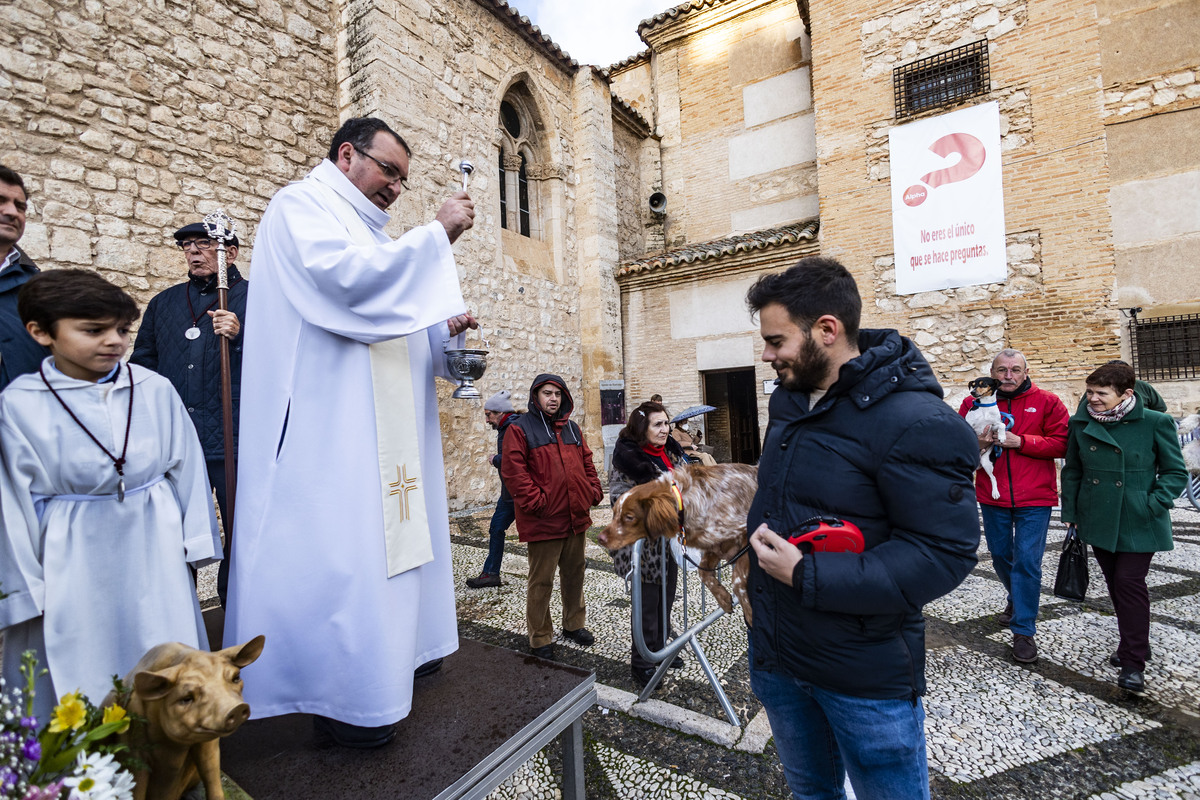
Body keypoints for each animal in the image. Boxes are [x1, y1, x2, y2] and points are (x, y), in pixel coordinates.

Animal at [600, 462, 758, 623]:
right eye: (614, 513)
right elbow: (703, 573)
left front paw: (750, 613)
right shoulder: (714, 546)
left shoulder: (747, 535)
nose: (601, 538)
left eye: (629, 517)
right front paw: (724, 599)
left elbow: (737, 580)